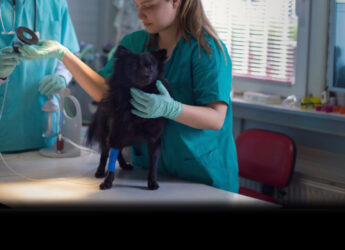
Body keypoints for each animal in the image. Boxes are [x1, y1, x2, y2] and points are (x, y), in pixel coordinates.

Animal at [87, 45, 171, 189]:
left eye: (150, 66)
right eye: (134, 66)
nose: (146, 75)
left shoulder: (154, 139)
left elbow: (153, 163)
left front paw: (152, 182)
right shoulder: (116, 133)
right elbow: (110, 161)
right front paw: (107, 181)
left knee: (118, 152)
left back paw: (124, 165)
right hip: (107, 133)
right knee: (105, 153)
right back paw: (100, 171)